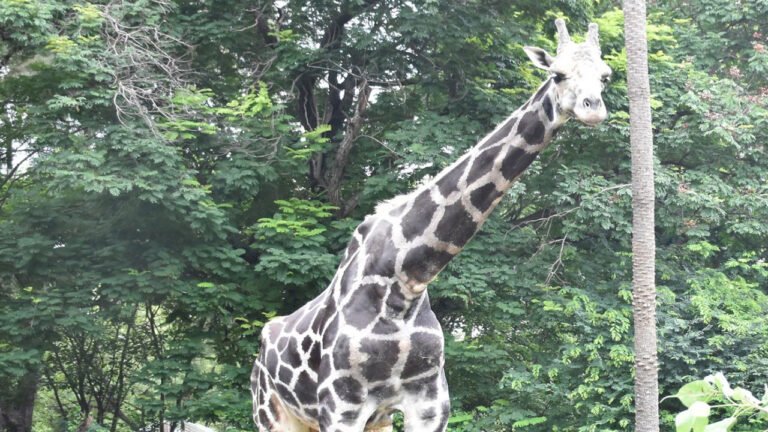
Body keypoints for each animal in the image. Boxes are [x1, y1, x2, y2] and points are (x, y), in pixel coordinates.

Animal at [251, 18, 612, 432]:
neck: (405, 281)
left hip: (367, 420)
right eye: (557, 74)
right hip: (272, 414)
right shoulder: (341, 405)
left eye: (605, 76)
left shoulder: (428, 402)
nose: (593, 108)